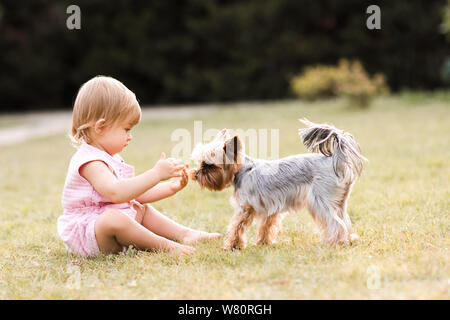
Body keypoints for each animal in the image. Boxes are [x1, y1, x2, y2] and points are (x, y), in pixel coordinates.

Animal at [189, 119, 366, 250]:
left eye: (209, 165)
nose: (196, 174)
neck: (242, 170)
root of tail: (334, 160)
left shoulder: (244, 208)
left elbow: (236, 227)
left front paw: (232, 246)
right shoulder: (270, 208)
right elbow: (266, 226)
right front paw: (263, 243)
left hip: (319, 201)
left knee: (335, 223)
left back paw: (337, 242)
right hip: (339, 202)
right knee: (344, 219)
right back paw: (349, 239)